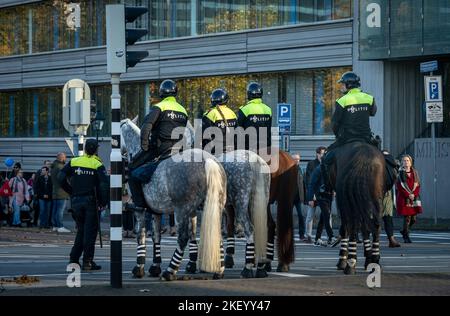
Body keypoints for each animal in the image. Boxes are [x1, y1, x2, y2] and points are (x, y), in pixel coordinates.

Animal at [120, 117, 229, 280]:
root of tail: (208, 161)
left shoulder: (140, 211)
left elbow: (141, 235)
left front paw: (139, 267)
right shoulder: (159, 211)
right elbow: (157, 236)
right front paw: (155, 266)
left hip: (180, 211)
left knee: (182, 238)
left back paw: (170, 271)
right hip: (214, 208)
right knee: (217, 234)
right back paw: (220, 270)